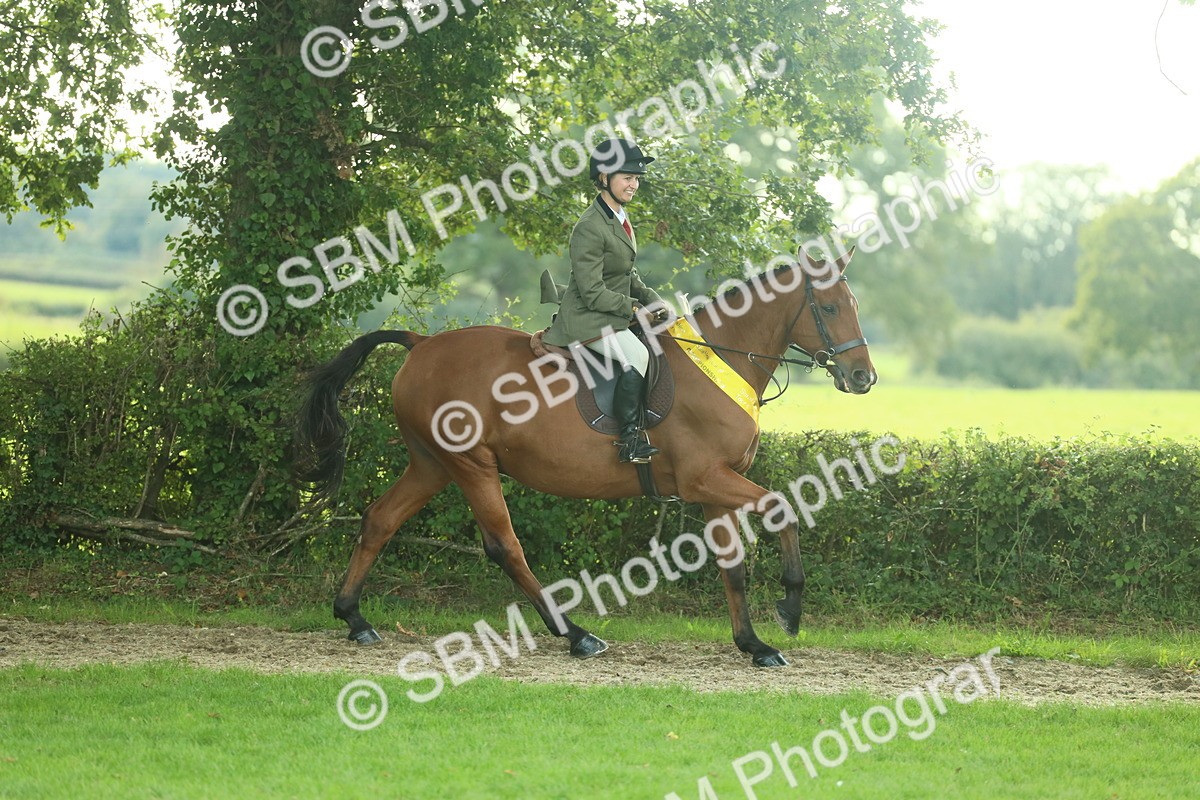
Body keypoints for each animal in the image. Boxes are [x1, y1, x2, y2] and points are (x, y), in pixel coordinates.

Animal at [296, 250, 876, 667]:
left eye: (854, 305)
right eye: (828, 308)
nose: (863, 377)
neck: (723, 357)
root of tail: (421, 344)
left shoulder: (716, 486)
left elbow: (731, 568)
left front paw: (753, 645)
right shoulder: (705, 479)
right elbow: (783, 509)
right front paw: (791, 609)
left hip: (431, 465)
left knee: (380, 519)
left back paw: (354, 618)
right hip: (470, 465)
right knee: (504, 546)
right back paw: (575, 634)